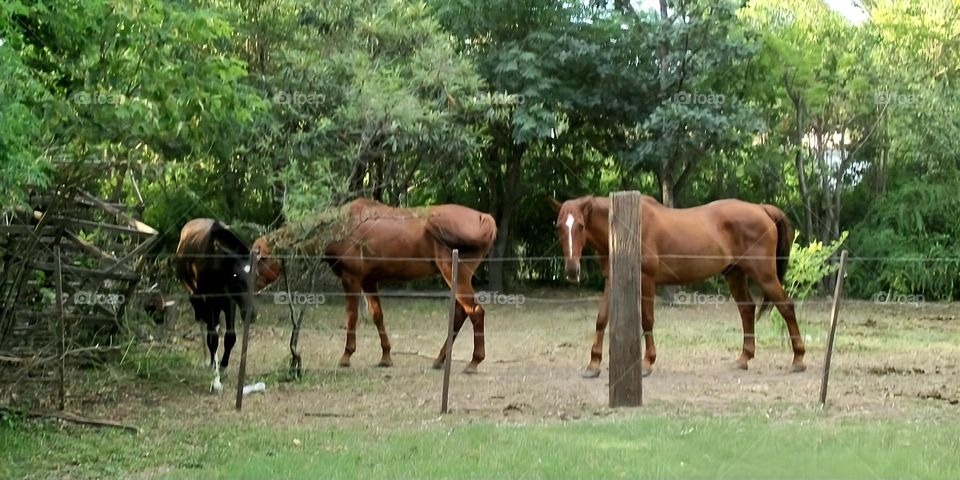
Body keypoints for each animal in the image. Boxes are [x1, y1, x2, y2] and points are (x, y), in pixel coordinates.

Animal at [174, 218, 269, 393]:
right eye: (236, 276)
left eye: (257, 276)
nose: (251, 314)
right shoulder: (210, 301)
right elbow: (213, 339)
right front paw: (216, 381)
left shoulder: (229, 302)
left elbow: (230, 337)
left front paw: (223, 365)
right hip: (194, 297)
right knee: (203, 323)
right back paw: (207, 360)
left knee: (215, 327)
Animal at [253, 198, 497, 373]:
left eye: (260, 258)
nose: (251, 286)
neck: (342, 228)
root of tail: (483, 218)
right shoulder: (369, 281)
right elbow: (377, 315)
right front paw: (386, 357)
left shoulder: (351, 279)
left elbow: (351, 317)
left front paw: (347, 355)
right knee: (461, 314)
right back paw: (440, 359)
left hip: (455, 275)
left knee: (475, 312)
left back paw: (473, 362)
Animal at [550, 195, 805, 378]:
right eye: (560, 226)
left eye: (581, 226)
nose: (572, 270)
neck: (626, 231)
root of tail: (761, 209)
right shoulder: (612, 281)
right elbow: (602, 319)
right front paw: (593, 364)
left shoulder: (647, 280)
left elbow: (647, 320)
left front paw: (647, 362)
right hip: (735, 274)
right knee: (747, 310)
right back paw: (744, 358)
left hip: (765, 276)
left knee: (786, 307)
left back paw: (798, 360)